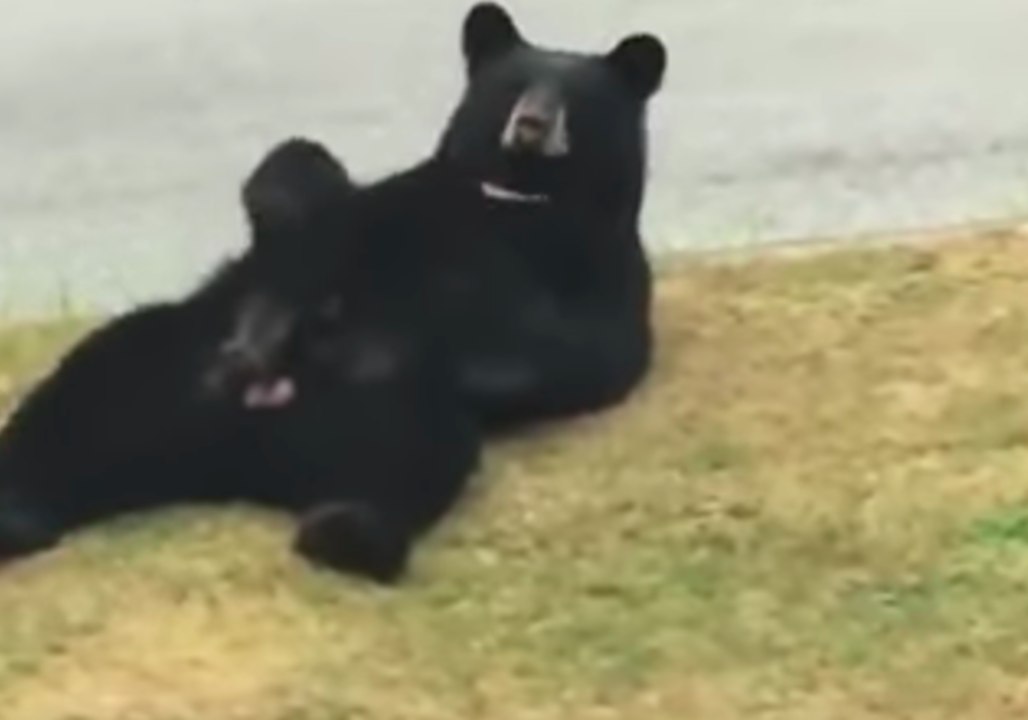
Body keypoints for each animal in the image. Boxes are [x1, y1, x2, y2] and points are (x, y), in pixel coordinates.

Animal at [0, 139, 481, 584]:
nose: (254, 353)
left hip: (368, 411)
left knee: (415, 450)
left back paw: (352, 532)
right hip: (162, 372)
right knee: (85, 398)